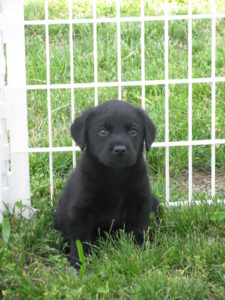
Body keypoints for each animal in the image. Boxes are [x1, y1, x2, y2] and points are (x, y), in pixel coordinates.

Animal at [54, 100, 160, 268]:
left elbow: (137, 230)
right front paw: (79, 264)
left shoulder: (140, 202)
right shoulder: (81, 210)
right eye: (103, 132)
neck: (115, 175)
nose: (120, 150)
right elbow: (80, 241)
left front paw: (138, 253)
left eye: (133, 132)